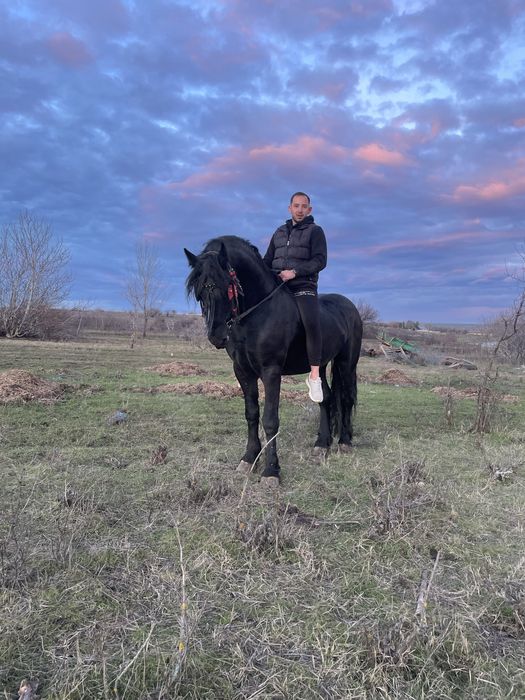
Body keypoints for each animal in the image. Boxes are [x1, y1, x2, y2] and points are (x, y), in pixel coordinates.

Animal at [184, 235, 362, 487]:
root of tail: (350, 307)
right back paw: (321, 444)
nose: (217, 336)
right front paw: (249, 459)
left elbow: (270, 420)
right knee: (325, 399)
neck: (256, 315)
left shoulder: (271, 372)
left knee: (346, 398)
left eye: (225, 285)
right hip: (321, 364)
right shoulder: (242, 371)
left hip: (347, 363)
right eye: (199, 292)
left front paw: (271, 471)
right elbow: (251, 414)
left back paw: (344, 442)